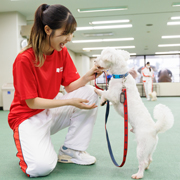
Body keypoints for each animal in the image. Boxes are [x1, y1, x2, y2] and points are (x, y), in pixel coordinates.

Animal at [94, 47, 174, 179]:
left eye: (101, 56)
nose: (95, 60)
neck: (121, 76)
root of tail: (155, 129)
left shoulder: (113, 95)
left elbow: (103, 92)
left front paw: (96, 91)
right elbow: (105, 95)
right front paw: (102, 101)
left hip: (141, 148)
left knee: (143, 161)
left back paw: (139, 174)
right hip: (150, 148)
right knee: (149, 159)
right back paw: (145, 168)